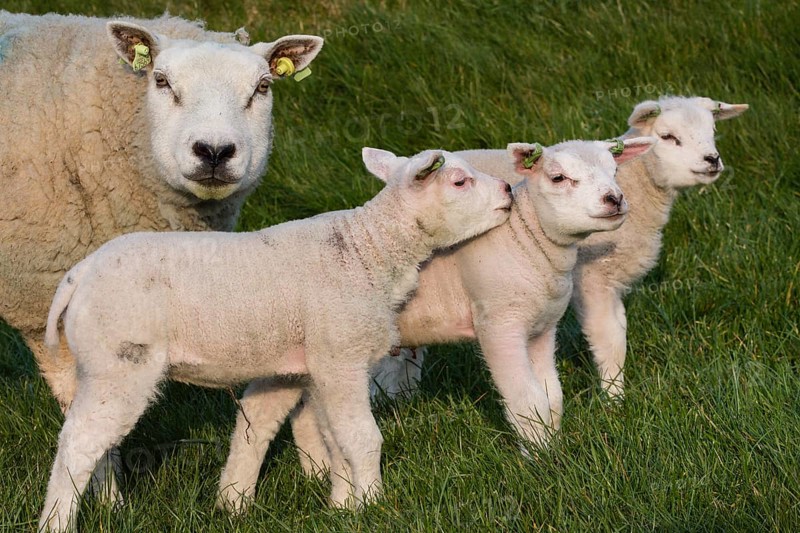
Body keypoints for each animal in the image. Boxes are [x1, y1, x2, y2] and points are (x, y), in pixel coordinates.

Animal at [38, 147, 513, 532]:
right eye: (459, 181)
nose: (509, 190)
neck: (371, 250)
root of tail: (78, 276)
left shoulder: (311, 363)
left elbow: (331, 439)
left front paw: (343, 507)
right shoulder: (342, 355)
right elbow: (361, 437)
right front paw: (374, 503)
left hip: (102, 364)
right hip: (121, 359)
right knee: (79, 442)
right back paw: (57, 522)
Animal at [218, 137, 655, 508]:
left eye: (614, 170)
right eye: (558, 177)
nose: (614, 199)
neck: (529, 241)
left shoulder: (541, 330)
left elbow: (552, 399)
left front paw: (550, 449)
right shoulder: (499, 323)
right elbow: (525, 401)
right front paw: (538, 463)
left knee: (276, 410)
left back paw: (282, 484)